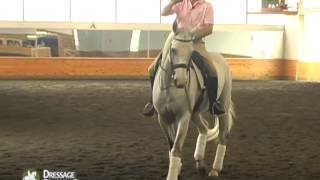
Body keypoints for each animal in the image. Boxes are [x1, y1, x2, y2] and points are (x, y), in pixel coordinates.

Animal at [152, 26, 235, 179]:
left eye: (191, 52)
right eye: (174, 50)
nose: (181, 81)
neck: (169, 87)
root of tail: (221, 58)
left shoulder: (184, 117)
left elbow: (176, 147)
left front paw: (172, 175)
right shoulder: (163, 118)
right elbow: (171, 144)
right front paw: (178, 168)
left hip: (224, 105)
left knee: (223, 135)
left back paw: (215, 169)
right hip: (195, 113)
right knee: (204, 128)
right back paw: (200, 162)